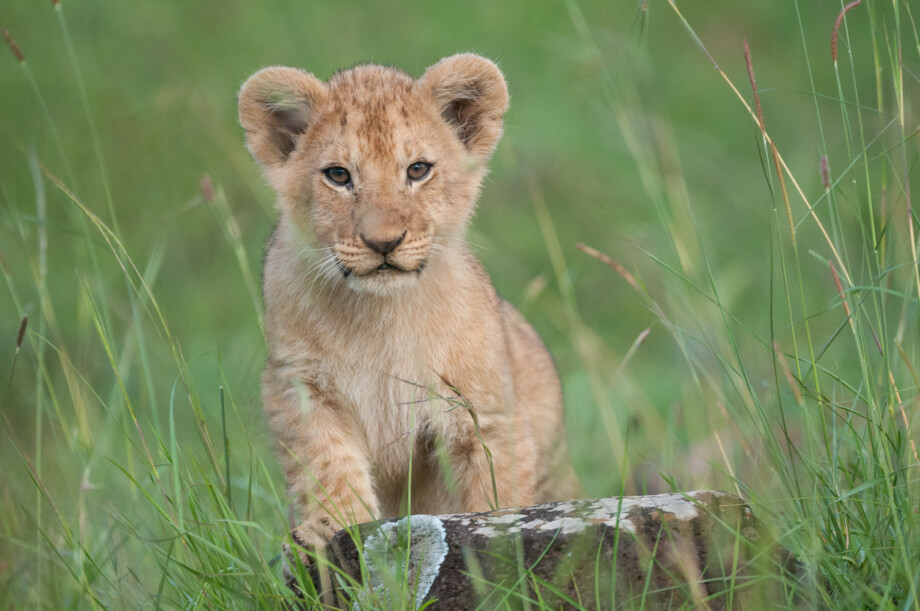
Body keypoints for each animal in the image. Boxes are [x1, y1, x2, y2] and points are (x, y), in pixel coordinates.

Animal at [238, 54, 578, 558]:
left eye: (418, 170)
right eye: (338, 175)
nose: (384, 242)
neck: (380, 316)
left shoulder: (484, 409)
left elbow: (494, 487)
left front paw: (498, 549)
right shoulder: (297, 385)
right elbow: (329, 464)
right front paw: (332, 527)